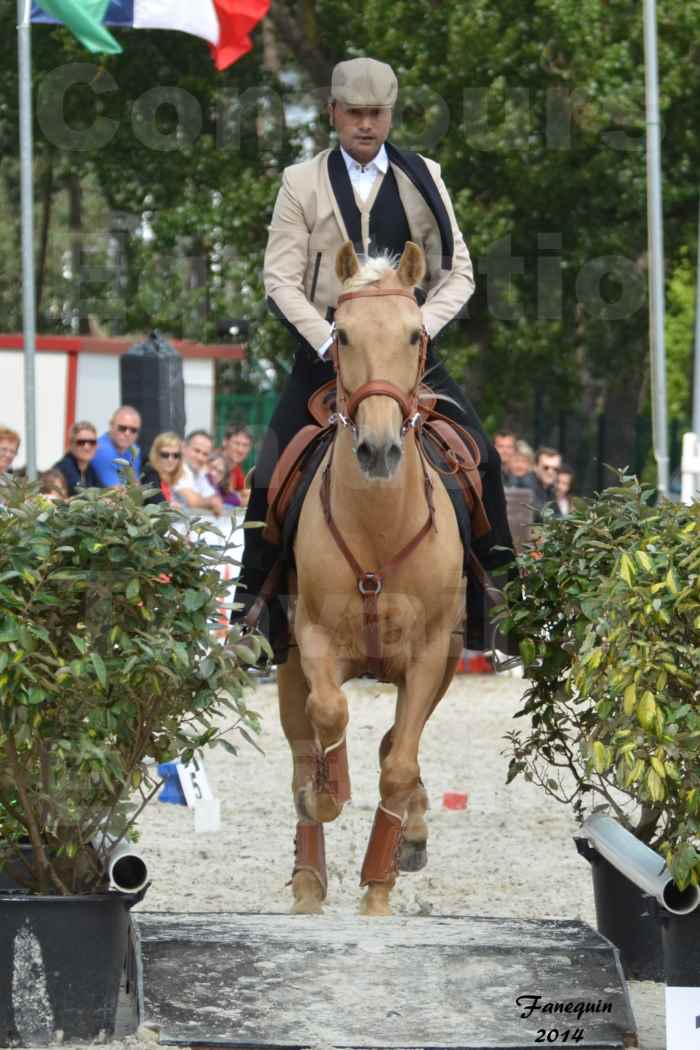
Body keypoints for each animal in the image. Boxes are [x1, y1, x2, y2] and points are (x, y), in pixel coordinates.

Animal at [277, 241, 465, 915]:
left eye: (414, 334)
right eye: (343, 334)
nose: (379, 450)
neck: (381, 528)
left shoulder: (433, 654)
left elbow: (399, 763)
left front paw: (382, 882)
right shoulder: (311, 638)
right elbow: (329, 714)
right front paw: (327, 794)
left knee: (394, 750)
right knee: (302, 748)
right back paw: (308, 881)